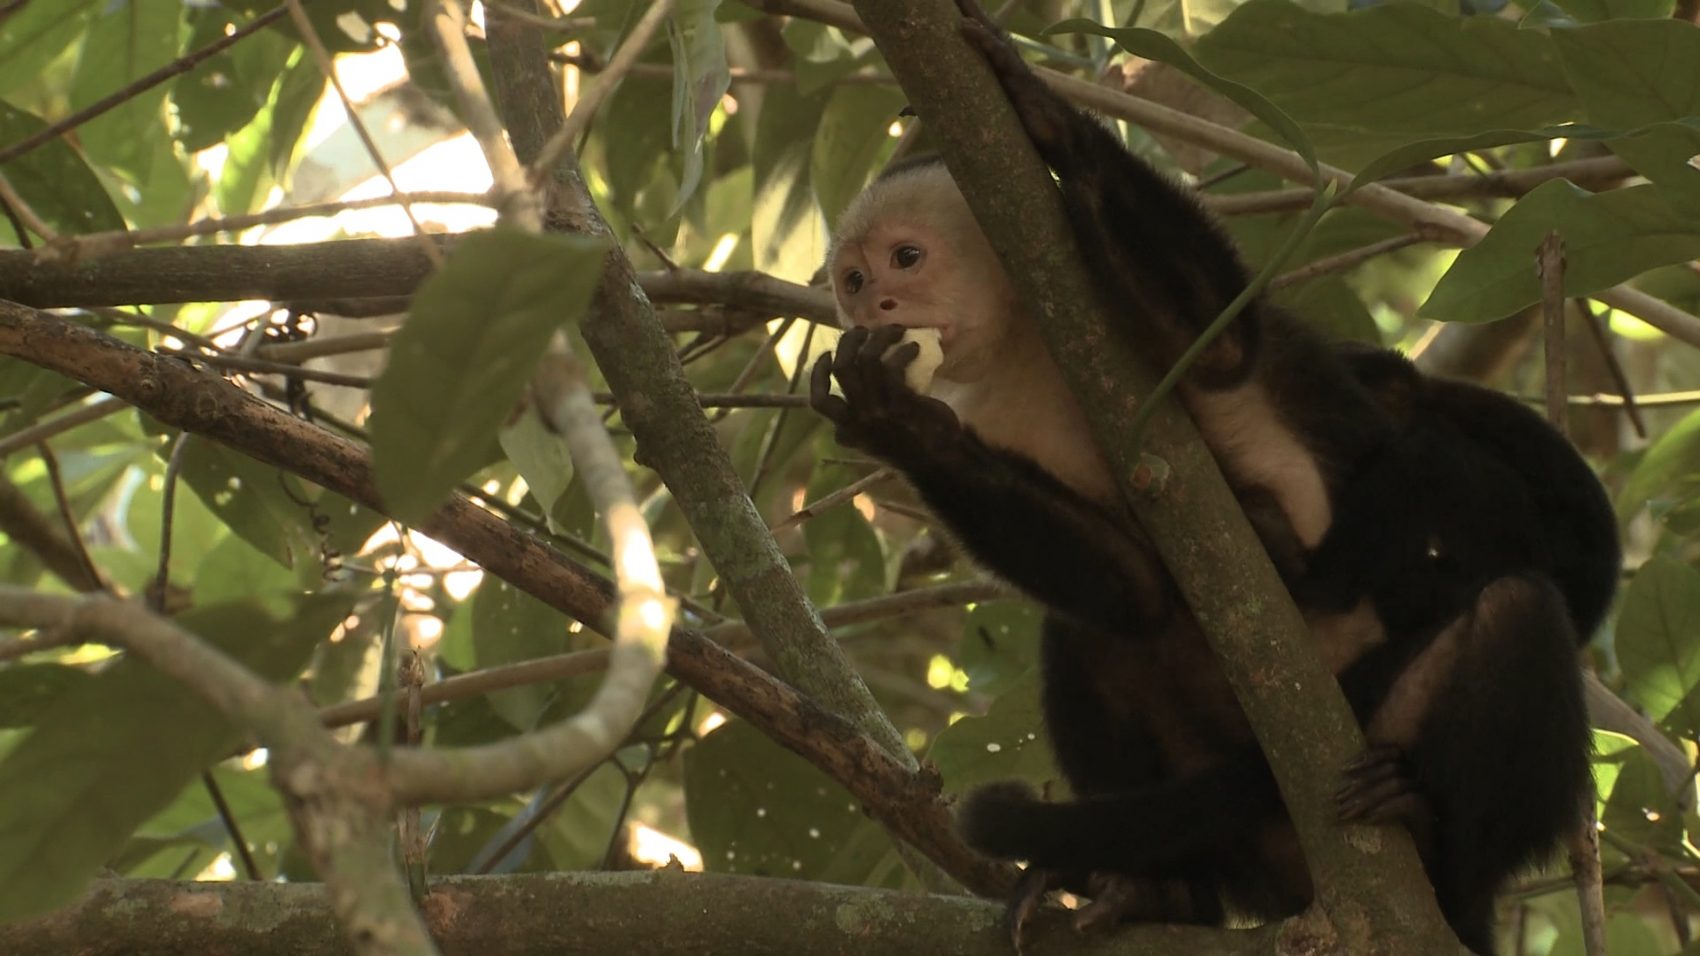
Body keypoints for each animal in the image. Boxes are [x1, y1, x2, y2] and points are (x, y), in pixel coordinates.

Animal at [807, 3, 1621, 953]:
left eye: (906, 258)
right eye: (853, 279)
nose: (876, 306)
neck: (1028, 347)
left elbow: (1223, 348)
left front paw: (1043, 114)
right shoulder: (990, 410)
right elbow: (1132, 588)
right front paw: (893, 423)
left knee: (1511, 602)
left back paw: (1428, 835)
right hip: (1251, 841)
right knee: (1095, 636)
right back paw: (1159, 890)